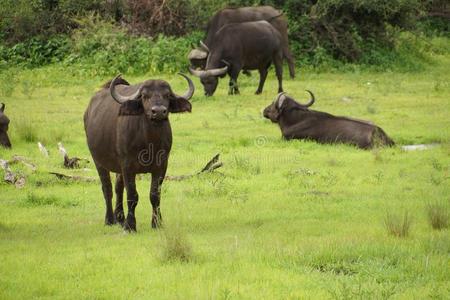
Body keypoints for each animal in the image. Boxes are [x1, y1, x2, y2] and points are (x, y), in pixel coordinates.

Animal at [84, 73, 193, 232]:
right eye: (144, 96)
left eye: (167, 95)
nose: (158, 111)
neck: (149, 141)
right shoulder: (127, 165)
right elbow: (132, 195)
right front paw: (130, 226)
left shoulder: (162, 166)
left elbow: (155, 195)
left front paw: (157, 223)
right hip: (98, 161)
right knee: (107, 189)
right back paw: (109, 219)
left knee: (118, 188)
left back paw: (120, 218)